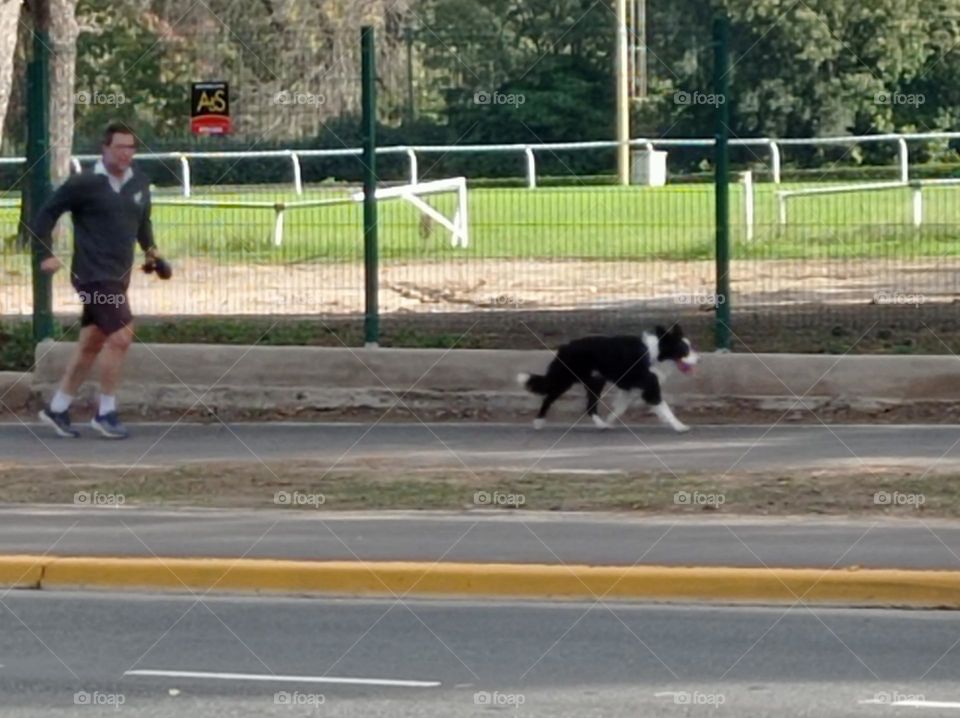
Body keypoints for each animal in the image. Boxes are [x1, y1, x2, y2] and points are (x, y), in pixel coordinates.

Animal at [516, 326, 696, 434]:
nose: (699, 359)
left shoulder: (631, 388)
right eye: (684, 350)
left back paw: (601, 424)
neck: (655, 352)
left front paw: (609, 421)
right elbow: (665, 408)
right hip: (565, 379)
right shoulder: (649, 388)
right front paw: (680, 426)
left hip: (596, 381)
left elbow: (620, 408)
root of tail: (565, 347)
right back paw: (538, 422)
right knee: (548, 398)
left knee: (590, 407)